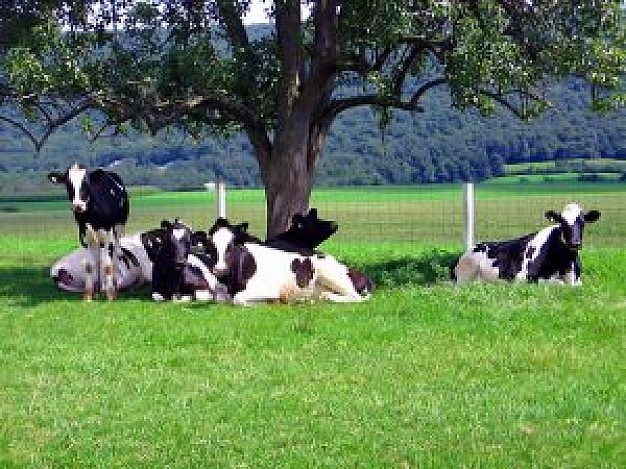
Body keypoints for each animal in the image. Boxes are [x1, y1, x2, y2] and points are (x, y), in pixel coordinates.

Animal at [47, 165, 129, 300]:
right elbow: (90, 265)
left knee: (115, 256)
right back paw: (99, 289)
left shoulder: (109, 233)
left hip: (119, 227)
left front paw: (110, 294)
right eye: (68, 184)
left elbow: (108, 265)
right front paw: (89, 295)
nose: (78, 205)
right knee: (98, 259)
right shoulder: (84, 235)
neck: (92, 214)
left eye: (86, 183)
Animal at [205, 218, 370, 306]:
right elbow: (219, 298)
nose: (219, 270)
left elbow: (238, 299)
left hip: (329, 273)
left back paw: (326, 297)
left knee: (356, 297)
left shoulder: (268, 290)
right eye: (211, 245)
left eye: (232, 245)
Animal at [450, 202, 604, 286]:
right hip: (467, 275)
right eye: (562, 222)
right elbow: (557, 283)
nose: (574, 243)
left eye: (582, 222)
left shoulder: (578, 282)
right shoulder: (524, 278)